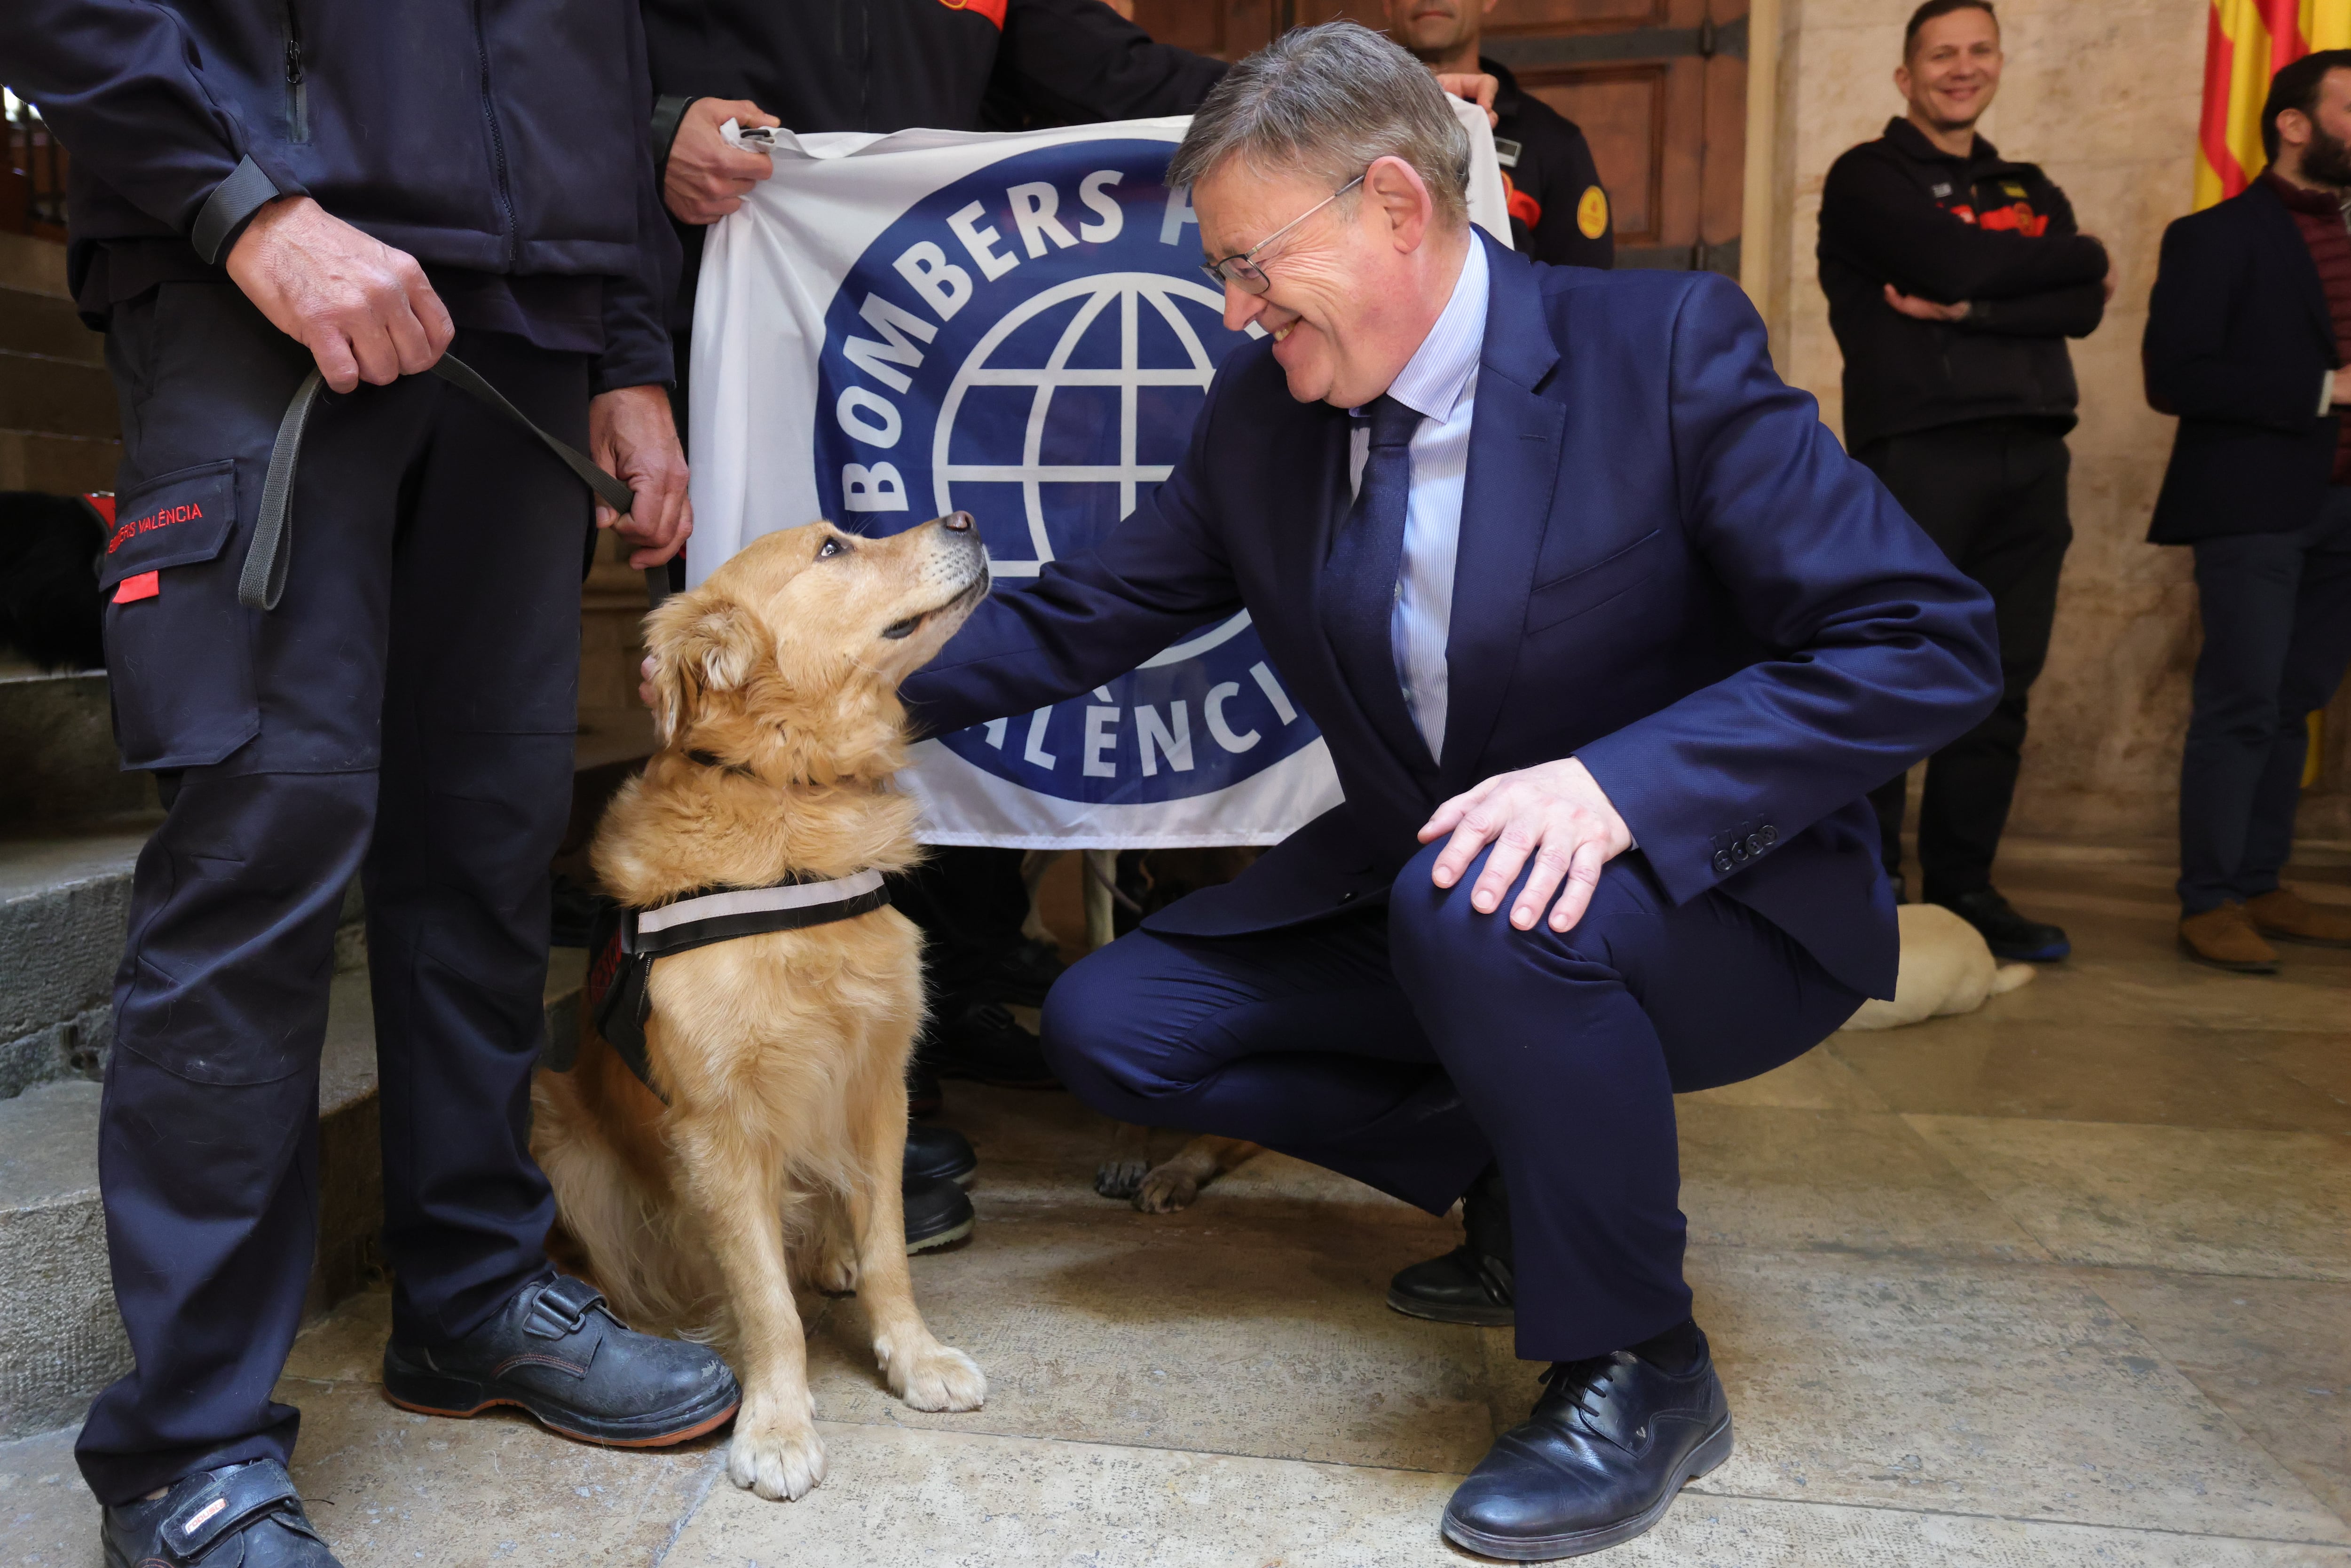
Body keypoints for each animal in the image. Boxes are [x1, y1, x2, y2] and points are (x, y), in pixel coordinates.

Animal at [534, 512, 992, 1495]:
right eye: (832, 550)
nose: (968, 519)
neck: (792, 795)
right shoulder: (718, 1126)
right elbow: (763, 1297)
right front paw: (777, 1425)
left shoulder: (878, 1085)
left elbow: (890, 1252)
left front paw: (915, 1357)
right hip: (555, 1127)